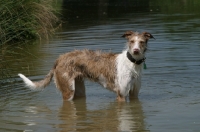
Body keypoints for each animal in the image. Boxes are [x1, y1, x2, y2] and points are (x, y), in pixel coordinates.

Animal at [18, 30, 154, 101]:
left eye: (142, 42)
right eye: (131, 41)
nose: (136, 51)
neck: (132, 63)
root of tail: (60, 58)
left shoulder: (134, 94)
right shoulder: (121, 94)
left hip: (79, 90)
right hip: (68, 91)